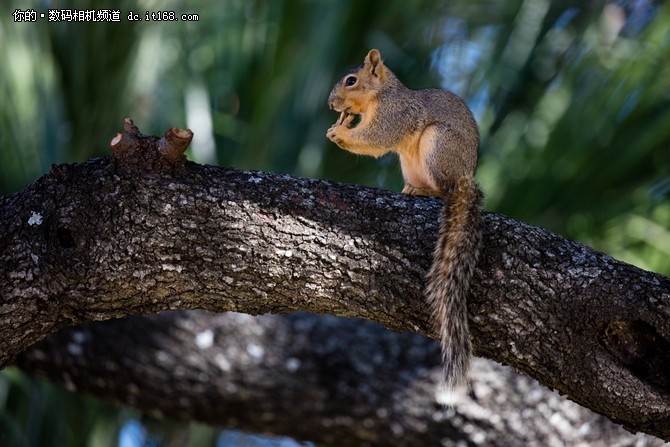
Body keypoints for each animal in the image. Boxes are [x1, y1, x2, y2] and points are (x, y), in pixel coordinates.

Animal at [326, 49, 484, 390]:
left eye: (351, 80)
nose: (331, 104)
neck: (380, 94)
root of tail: (465, 178)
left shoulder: (394, 115)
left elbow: (376, 138)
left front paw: (339, 132)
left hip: (438, 145)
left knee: (445, 191)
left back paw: (427, 191)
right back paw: (410, 188)